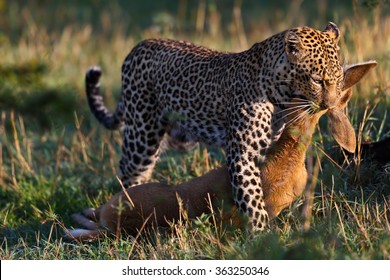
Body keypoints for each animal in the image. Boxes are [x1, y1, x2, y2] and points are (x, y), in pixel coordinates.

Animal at [85, 22, 344, 232]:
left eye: (339, 79)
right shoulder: (242, 154)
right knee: (128, 174)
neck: (281, 93)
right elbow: (252, 200)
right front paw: (261, 236)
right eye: (317, 80)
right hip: (142, 138)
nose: (331, 105)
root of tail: (137, 47)